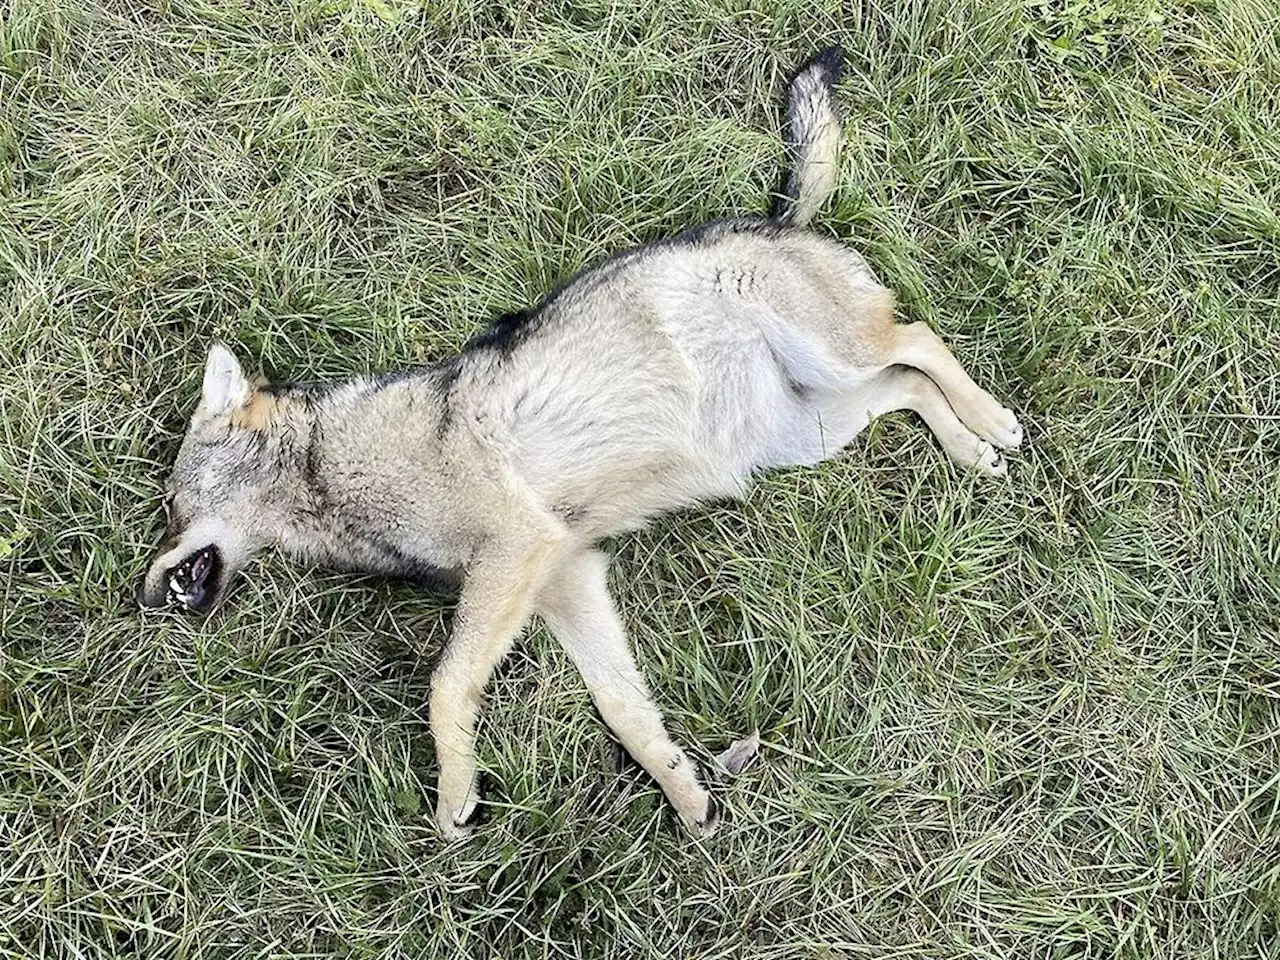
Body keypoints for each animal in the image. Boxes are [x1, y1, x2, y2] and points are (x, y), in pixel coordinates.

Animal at [137, 48, 1018, 839]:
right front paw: (686, 793)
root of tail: (771, 219)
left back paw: (993, 422)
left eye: (173, 506)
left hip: (838, 361)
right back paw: (971, 450)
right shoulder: (566, 577)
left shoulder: (515, 552)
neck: (333, 468)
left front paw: (456, 791)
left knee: (919, 337)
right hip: (809, 431)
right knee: (907, 386)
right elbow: (624, 709)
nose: (142, 596)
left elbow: (445, 686)